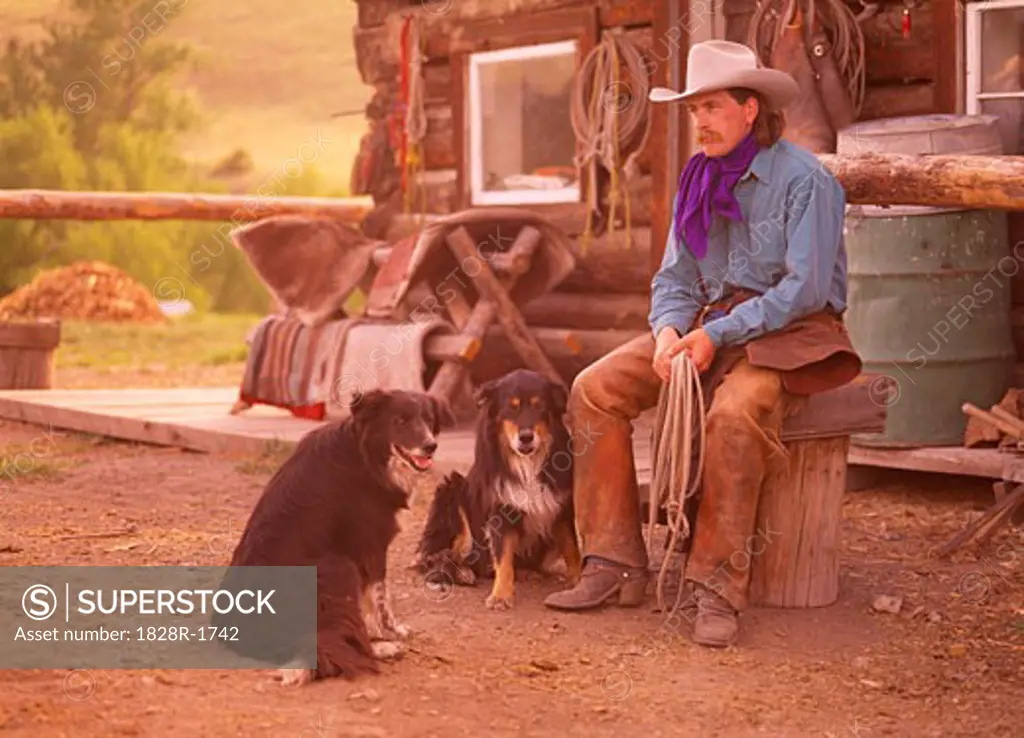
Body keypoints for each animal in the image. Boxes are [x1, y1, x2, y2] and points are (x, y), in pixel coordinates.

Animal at [224, 384, 456, 683]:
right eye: (400, 420)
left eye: (428, 420)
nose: (430, 446)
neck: (366, 455)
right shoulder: (372, 546)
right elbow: (380, 599)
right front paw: (390, 633)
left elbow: (368, 603)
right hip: (339, 565)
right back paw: (382, 649)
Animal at [413, 368, 577, 610]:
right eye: (511, 407)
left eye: (539, 406)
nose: (526, 437)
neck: (526, 463)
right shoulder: (501, 511)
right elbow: (503, 557)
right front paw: (500, 596)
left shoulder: (561, 507)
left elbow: (572, 548)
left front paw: (578, 580)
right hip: (452, 489)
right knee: (440, 556)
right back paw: (462, 573)